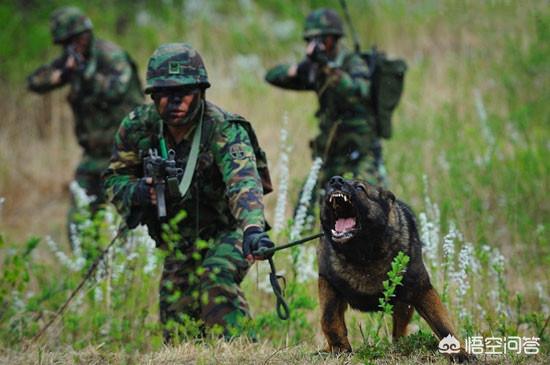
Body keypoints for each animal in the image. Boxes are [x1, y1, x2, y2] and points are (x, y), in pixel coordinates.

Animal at [320, 175, 470, 360]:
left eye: (360, 187)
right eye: (329, 184)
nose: (335, 180)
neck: (363, 255)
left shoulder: (421, 289)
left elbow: (443, 324)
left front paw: (461, 353)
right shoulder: (327, 282)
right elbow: (329, 319)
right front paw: (340, 349)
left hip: (403, 302)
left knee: (399, 328)